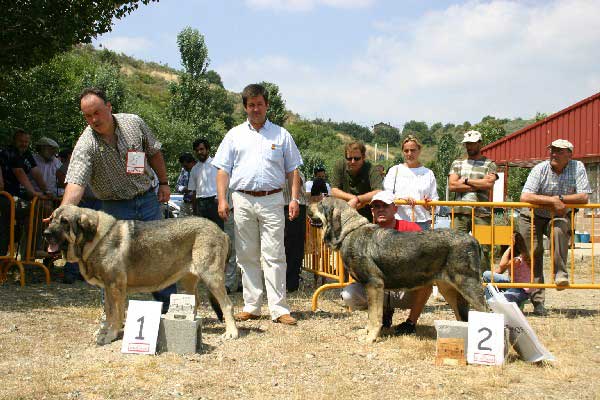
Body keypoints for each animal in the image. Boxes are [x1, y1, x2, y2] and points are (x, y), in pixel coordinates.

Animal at [44, 205, 238, 346]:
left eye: (64, 222)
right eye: (52, 218)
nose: (45, 234)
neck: (95, 238)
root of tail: (222, 232)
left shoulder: (115, 287)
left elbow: (116, 314)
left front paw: (110, 335)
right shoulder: (107, 288)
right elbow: (109, 312)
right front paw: (104, 331)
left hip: (211, 277)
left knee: (227, 305)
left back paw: (231, 332)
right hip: (188, 280)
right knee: (196, 301)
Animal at [310, 198, 488, 342]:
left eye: (320, 203)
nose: (307, 204)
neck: (349, 231)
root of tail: (474, 240)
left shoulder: (374, 284)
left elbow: (374, 316)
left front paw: (370, 337)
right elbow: (371, 315)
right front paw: (366, 332)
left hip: (468, 287)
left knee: (487, 312)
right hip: (449, 290)